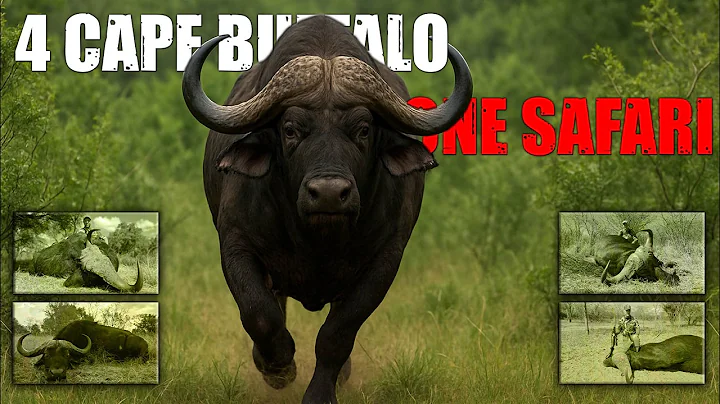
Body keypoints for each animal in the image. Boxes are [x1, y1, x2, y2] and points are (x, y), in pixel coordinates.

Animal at [181, 15, 472, 404]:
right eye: (290, 129)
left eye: (363, 129)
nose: (330, 194)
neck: (316, 239)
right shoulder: (236, 245)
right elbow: (259, 313)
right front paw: (278, 366)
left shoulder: (385, 259)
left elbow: (338, 333)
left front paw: (320, 392)